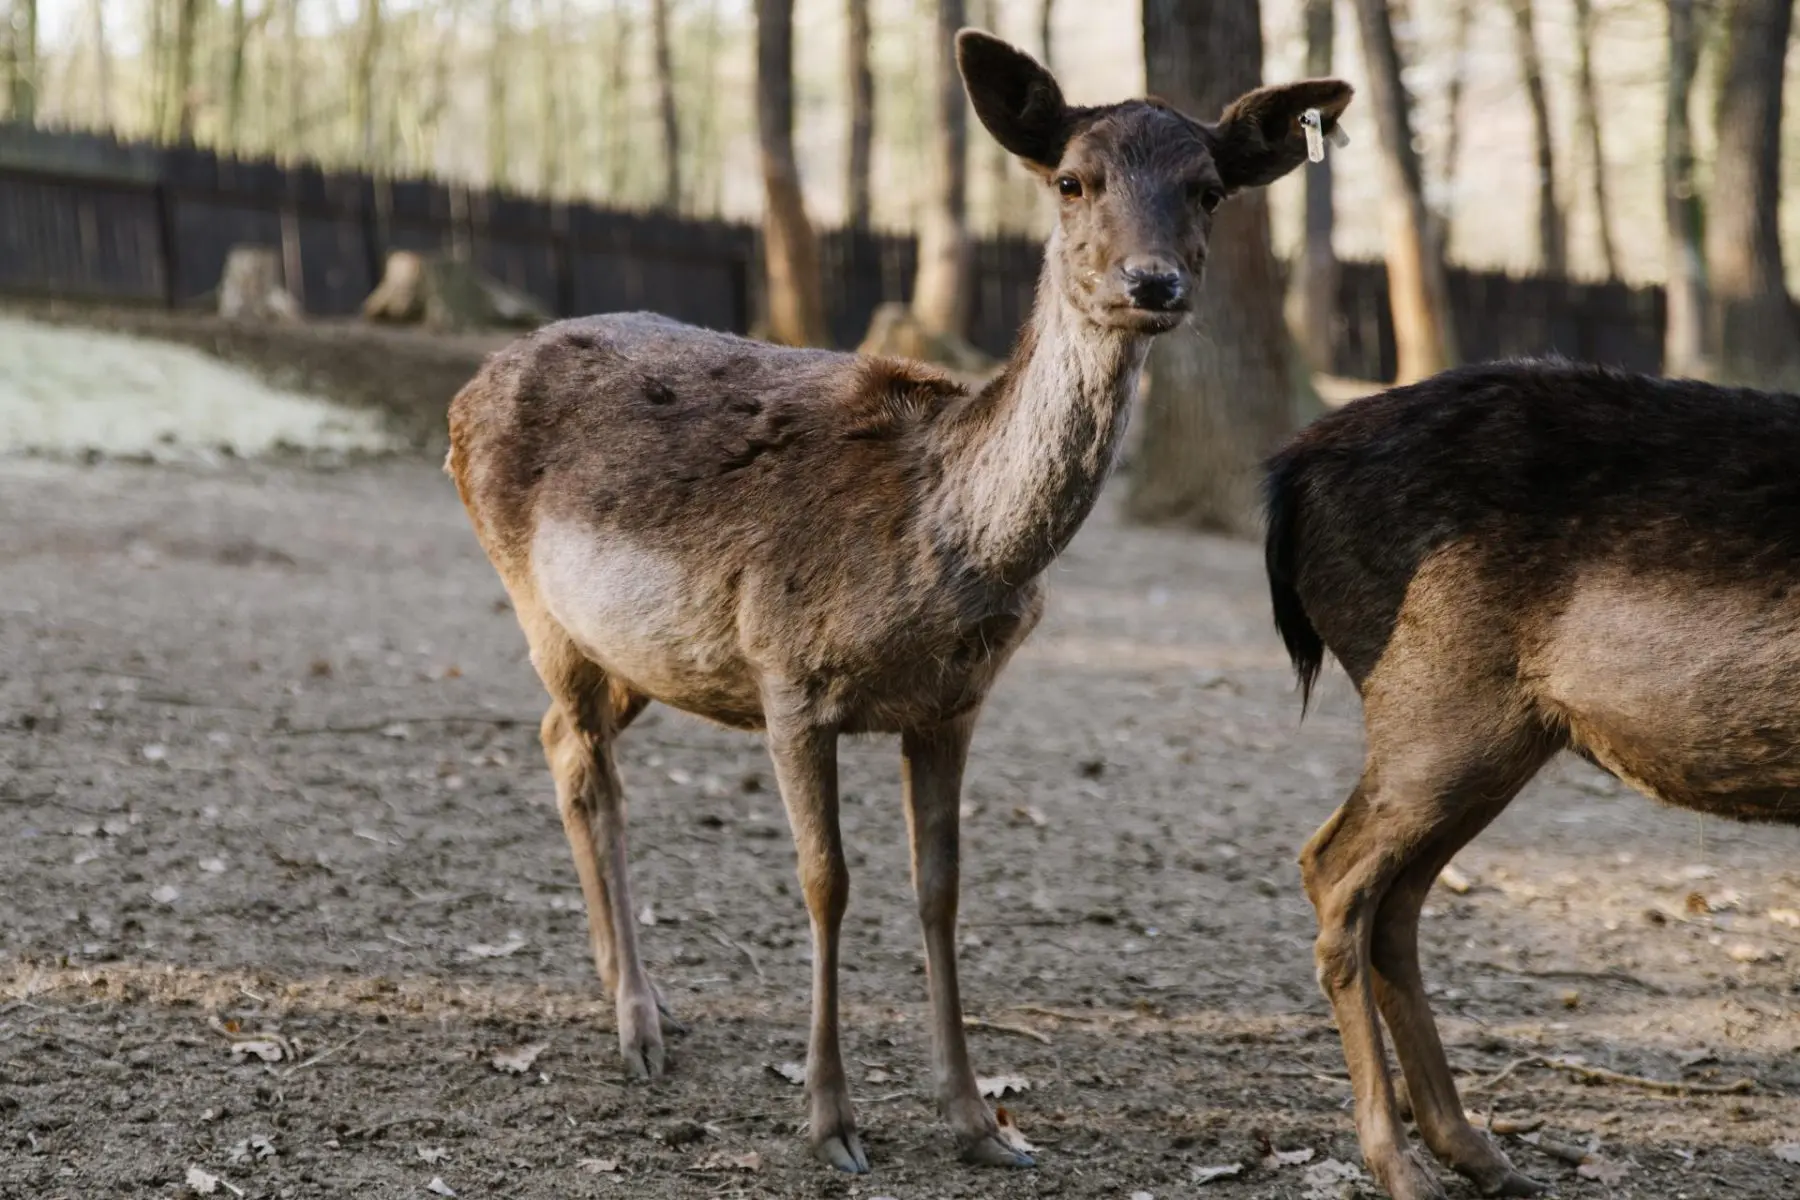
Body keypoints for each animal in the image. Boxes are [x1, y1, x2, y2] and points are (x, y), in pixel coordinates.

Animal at [447, 28, 1350, 1174]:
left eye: (1210, 189)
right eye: (1072, 179)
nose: (1152, 282)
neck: (943, 547)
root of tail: (469, 388)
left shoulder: (954, 706)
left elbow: (941, 887)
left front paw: (979, 1124)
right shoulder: (786, 673)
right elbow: (825, 879)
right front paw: (831, 1123)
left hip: (640, 653)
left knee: (559, 741)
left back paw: (647, 1002)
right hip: (536, 601)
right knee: (585, 767)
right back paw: (637, 1025)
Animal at [1263, 357, 1800, 1200]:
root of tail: (1287, 474)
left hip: (1500, 738)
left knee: (1395, 898)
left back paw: (1476, 1150)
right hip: (1437, 713)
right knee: (1335, 868)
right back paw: (1399, 1164)